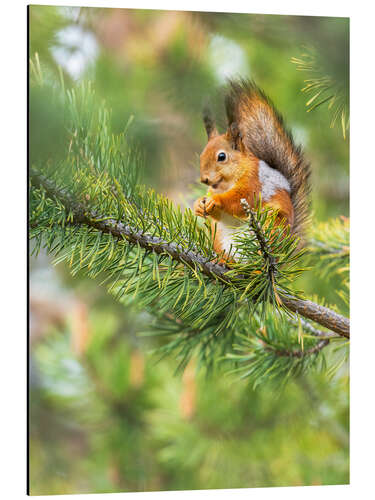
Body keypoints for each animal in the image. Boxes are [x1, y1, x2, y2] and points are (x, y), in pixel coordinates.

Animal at [194, 80, 312, 260]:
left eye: (221, 156)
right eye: (201, 155)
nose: (204, 179)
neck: (226, 184)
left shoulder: (253, 183)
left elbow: (238, 200)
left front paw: (216, 200)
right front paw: (198, 205)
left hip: (273, 226)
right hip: (219, 237)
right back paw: (224, 262)